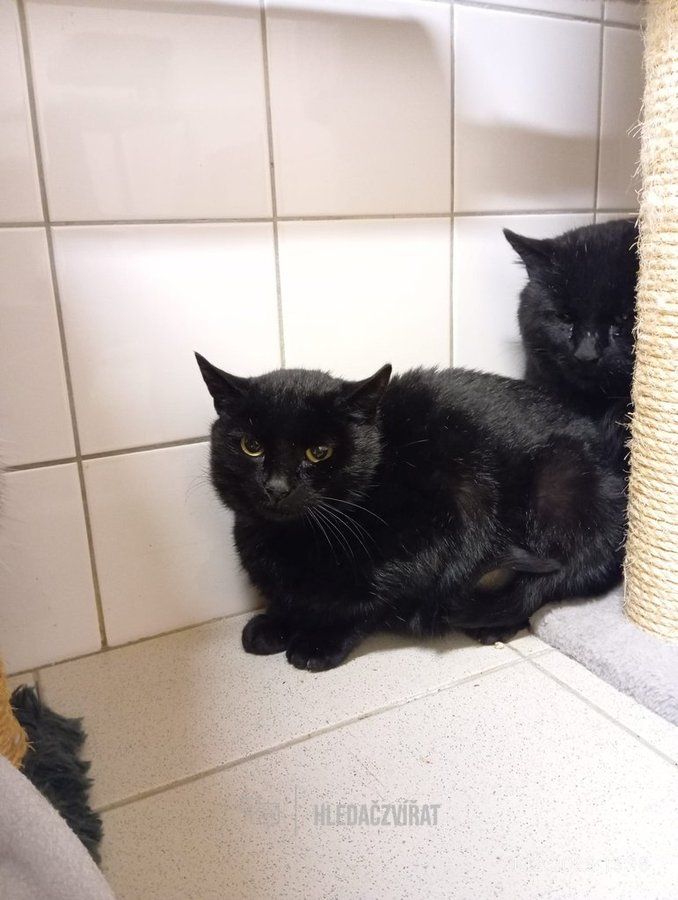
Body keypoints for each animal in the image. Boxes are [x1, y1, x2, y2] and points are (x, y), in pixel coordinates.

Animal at [196, 354, 625, 671]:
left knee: (550, 580)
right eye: (251, 446)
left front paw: (318, 638)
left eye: (319, 452)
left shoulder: (443, 530)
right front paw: (277, 621)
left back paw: (497, 625)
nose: (276, 487)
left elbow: (368, 598)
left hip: (558, 481)